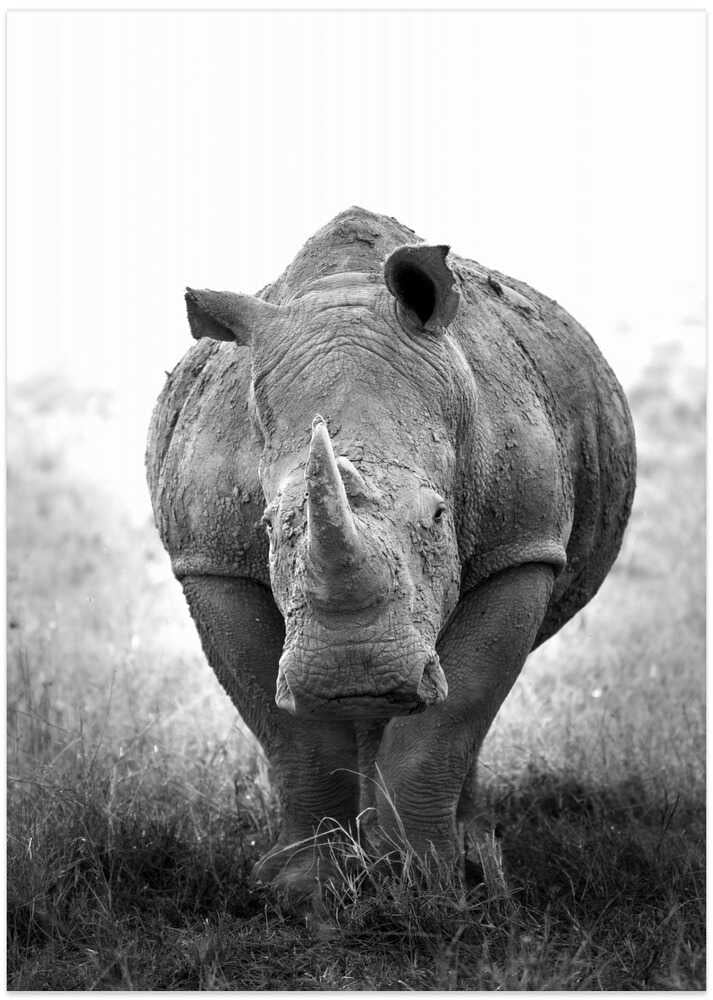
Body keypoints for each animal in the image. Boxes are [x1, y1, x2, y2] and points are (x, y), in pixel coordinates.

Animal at [146, 206, 636, 894]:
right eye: (267, 527)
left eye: (438, 516)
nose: (356, 675)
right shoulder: (210, 560)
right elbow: (289, 729)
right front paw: (303, 887)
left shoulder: (522, 545)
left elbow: (454, 714)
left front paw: (431, 882)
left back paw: (468, 854)